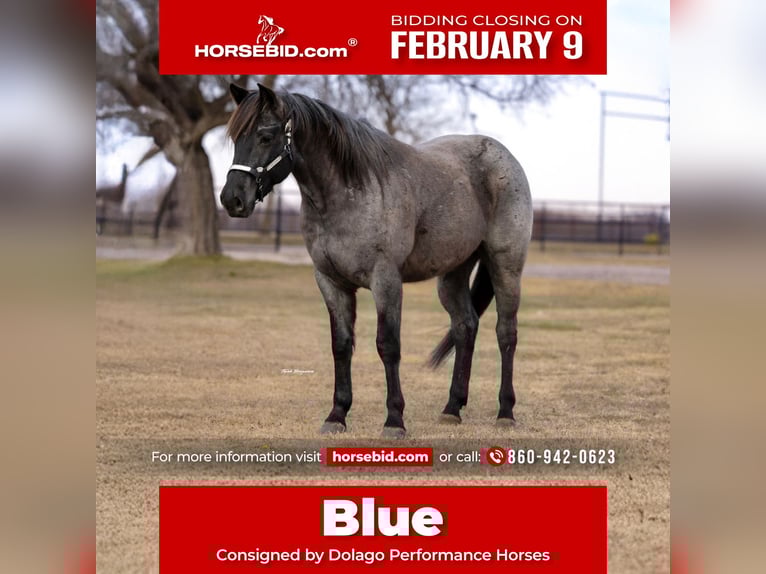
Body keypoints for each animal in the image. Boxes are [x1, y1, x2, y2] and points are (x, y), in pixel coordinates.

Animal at [221, 83, 533, 438]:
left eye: (265, 136)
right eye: (236, 139)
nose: (232, 199)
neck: (348, 193)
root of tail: (504, 157)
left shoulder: (385, 280)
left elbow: (388, 345)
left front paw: (394, 420)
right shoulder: (330, 282)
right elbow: (341, 345)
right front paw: (336, 415)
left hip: (505, 266)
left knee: (506, 332)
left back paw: (505, 412)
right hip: (452, 273)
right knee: (465, 326)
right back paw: (452, 409)